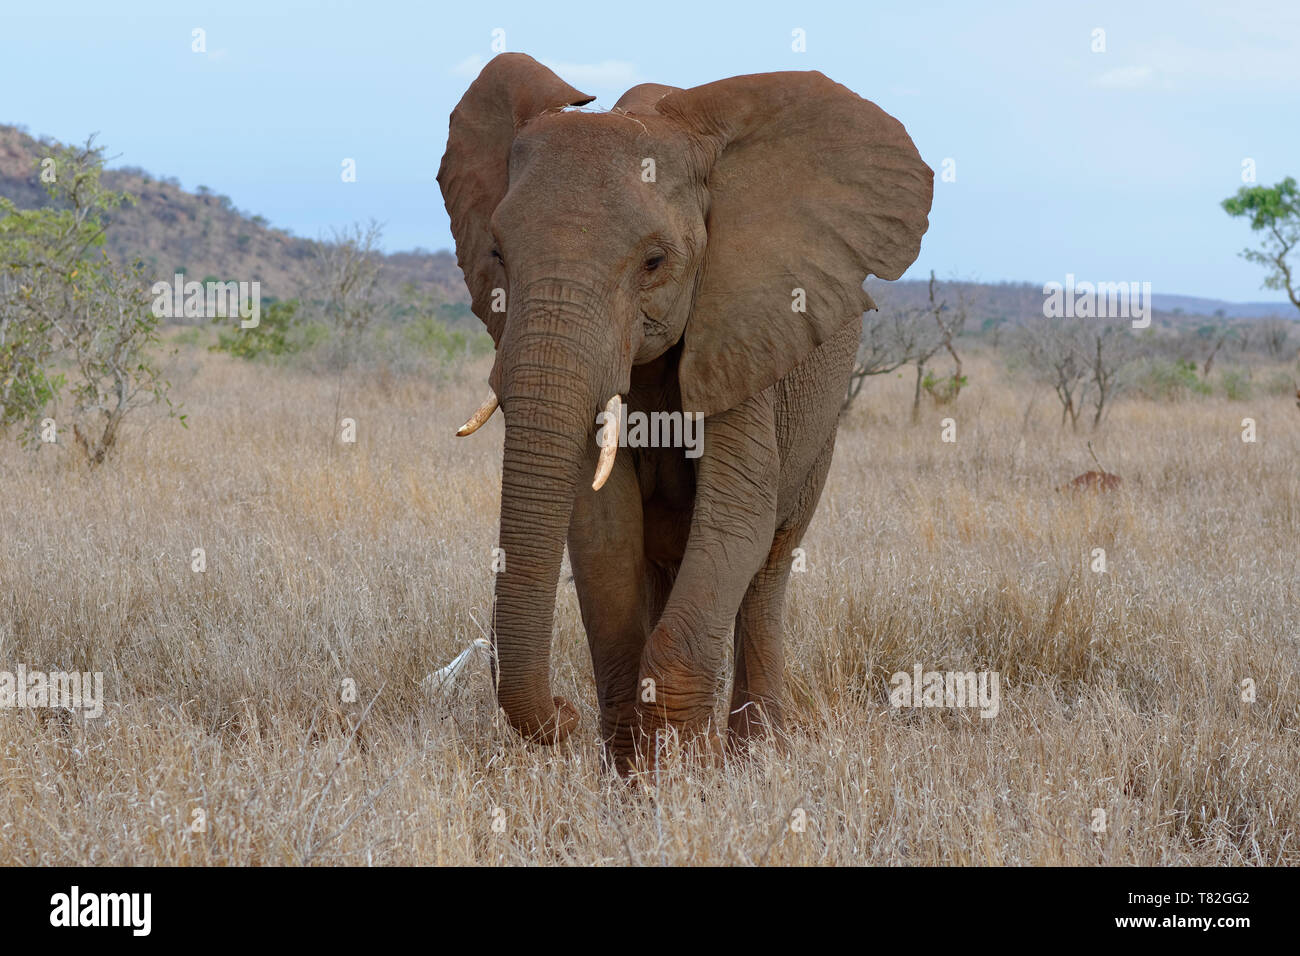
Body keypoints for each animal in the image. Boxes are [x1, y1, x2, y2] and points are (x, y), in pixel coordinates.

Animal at [439, 52, 935, 775]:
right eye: (497, 253)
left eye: (655, 261)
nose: (562, 714)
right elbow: (602, 528)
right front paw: (632, 775)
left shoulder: (744, 325)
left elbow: (738, 514)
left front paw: (683, 776)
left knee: (769, 565)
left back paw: (757, 753)